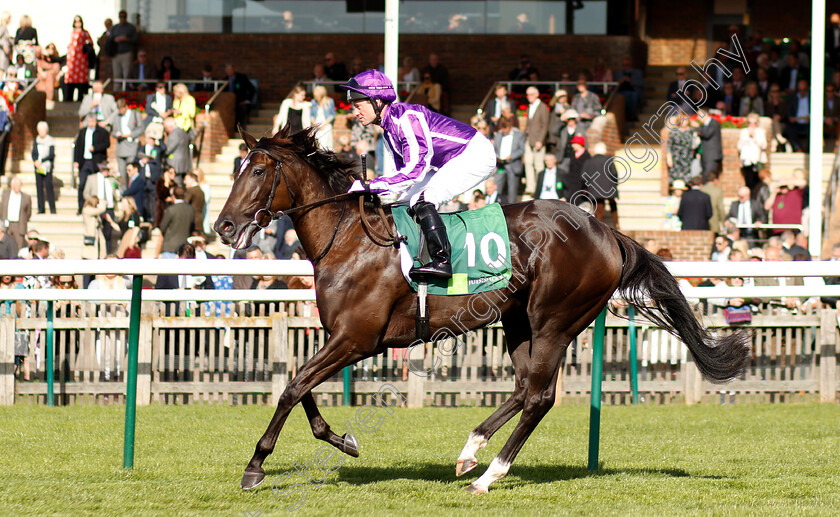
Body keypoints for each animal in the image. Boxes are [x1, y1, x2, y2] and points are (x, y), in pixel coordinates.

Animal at [213, 127, 752, 494]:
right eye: (236, 170)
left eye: (257, 171)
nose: (223, 226)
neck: (348, 239)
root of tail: (608, 232)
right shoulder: (338, 337)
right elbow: (299, 386)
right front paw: (343, 440)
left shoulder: (357, 339)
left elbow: (293, 387)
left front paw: (255, 466)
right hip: (517, 320)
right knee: (523, 388)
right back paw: (470, 452)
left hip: (555, 320)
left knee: (539, 397)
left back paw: (488, 475)